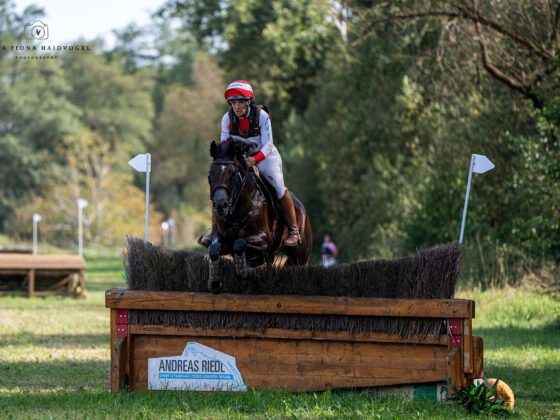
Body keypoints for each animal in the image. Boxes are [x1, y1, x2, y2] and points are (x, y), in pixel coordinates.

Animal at [206, 139, 312, 294]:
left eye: (232, 173)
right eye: (211, 174)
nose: (220, 206)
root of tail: (302, 209)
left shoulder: (263, 242)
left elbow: (239, 243)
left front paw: (245, 271)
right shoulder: (222, 238)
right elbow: (213, 249)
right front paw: (214, 281)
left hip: (300, 255)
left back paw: (293, 237)